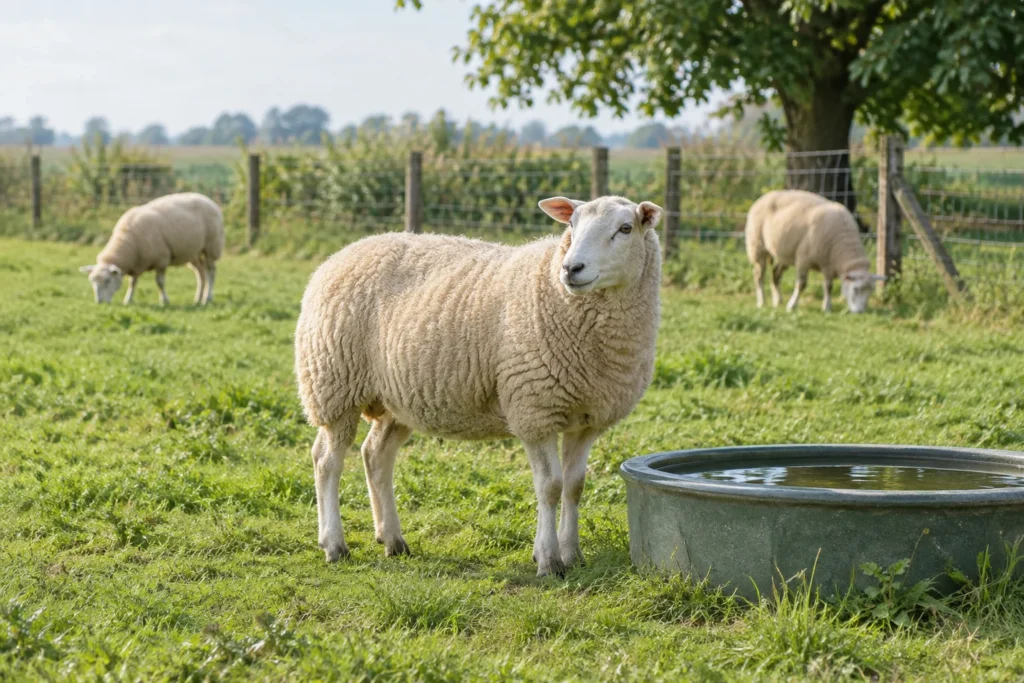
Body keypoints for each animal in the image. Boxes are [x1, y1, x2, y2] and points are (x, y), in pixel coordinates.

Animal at [79, 192, 224, 305]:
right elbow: (133, 282)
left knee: (211, 272)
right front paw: (128, 300)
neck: (129, 243)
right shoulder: (136, 264)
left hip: (211, 246)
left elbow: (160, 283)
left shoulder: (161, 260)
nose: (100, 302)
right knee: (201, 273)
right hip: (193, 253)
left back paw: (207, 298)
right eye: (92, 281)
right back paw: (198, 298)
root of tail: (208, 199)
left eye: (108, 281)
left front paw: (164, 301)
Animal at [294, 195, 663, 576]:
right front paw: (548, 559)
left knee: (375, 455)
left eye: (625, 228)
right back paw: (334, 544)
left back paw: (392, 539)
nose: (571, 269)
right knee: (326, 461)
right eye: (571, 225)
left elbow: (574, 487)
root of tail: (341, 254)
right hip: (334, 385)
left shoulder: (587, 419)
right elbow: (550, 487)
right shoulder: (533, 410)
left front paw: (572, 553)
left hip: (398, 398)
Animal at [745, 189, 883, 313]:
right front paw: (792, 306)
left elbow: (828, 286)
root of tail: (765, 196)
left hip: (785, 253)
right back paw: (762, 301)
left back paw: (778, 300)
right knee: (758, 275)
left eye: (871, 291)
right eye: (856, 289)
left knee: (775, 273)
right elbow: (801, 284)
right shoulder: (803, 259)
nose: (860, 312)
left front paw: (827, 307)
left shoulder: (828, 265)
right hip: (757, 247)